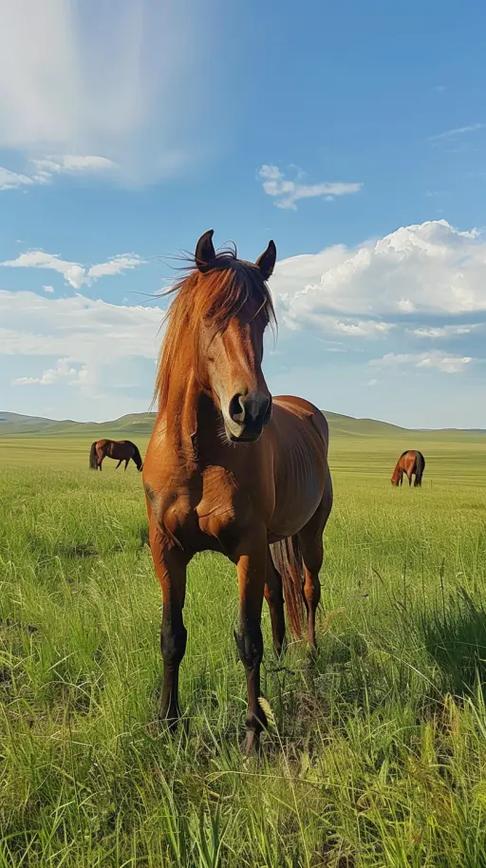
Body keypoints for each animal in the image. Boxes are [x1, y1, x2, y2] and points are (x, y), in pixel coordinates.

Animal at [143, 229, 333, 753]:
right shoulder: (167, 550)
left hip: (309, 535)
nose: (251, 410)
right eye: (209, 313)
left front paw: (252, 733)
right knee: (277, 592)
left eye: (262, 319)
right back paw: (286, 654)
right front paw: (168, 723)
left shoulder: (247, 547)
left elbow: (248, 640)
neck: (199, 458)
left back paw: (309, 656)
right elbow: (171, 635)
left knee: (307, 589)